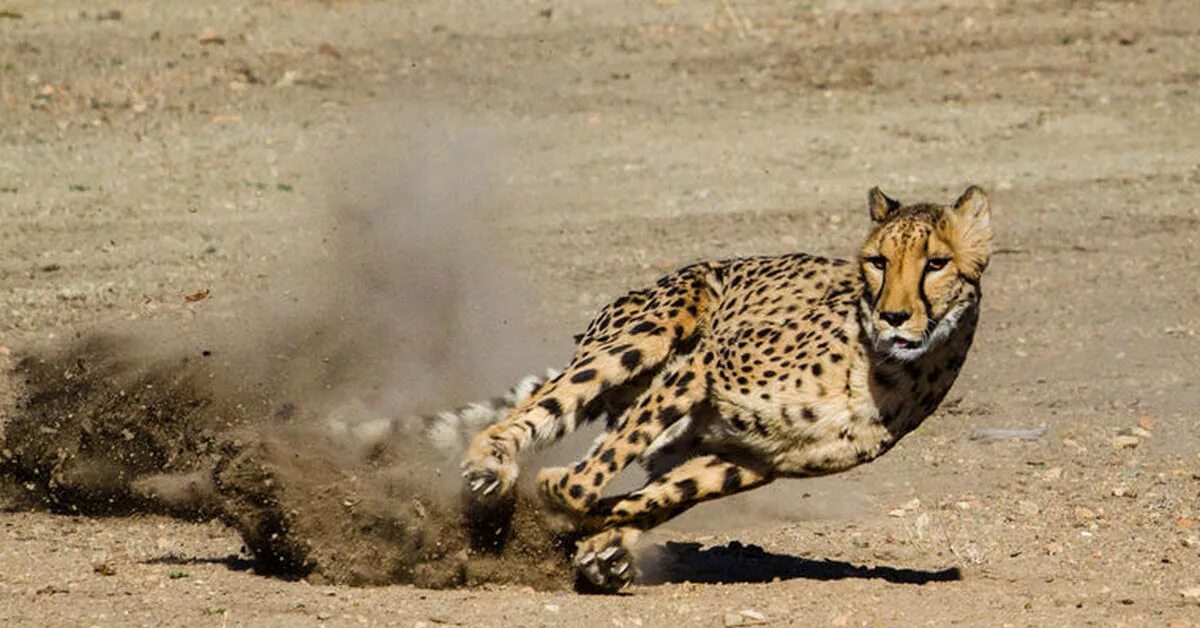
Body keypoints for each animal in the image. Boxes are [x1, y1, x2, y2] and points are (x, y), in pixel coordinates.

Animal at [458, 184, 993, 593]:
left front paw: (590, 534)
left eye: (936, 263)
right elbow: (588, 482)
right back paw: (490, 466)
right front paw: (554, 495)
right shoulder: (706, 364)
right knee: (545, 407)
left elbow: (650, 498)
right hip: (648, 333)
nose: (893, 316)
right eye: (879, 262)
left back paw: (604, 548)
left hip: (686, 438)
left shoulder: (753, 460)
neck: (885, 366)